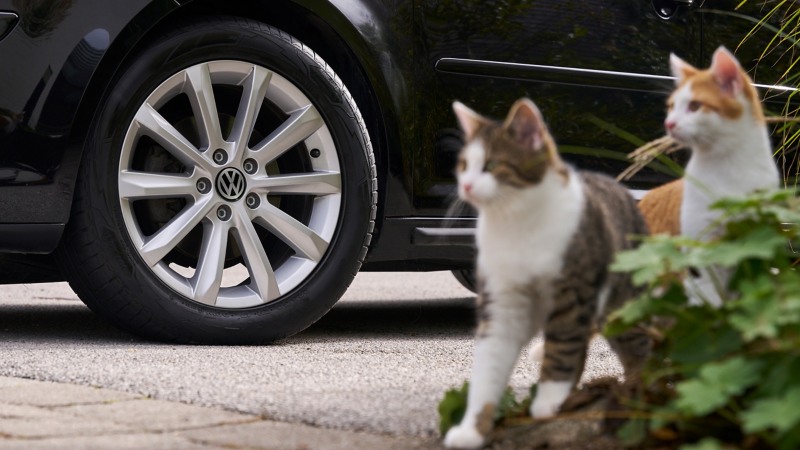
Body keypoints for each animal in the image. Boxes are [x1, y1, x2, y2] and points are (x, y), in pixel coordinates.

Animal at [444, 99, 648, 450]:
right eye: (464, 165)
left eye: (492, 164)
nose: (466, 185)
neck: (514, 222)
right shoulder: (501, 300)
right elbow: (488, 366)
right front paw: (473, 429)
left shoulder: (573, 293)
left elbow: (563, 344)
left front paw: (549, 400)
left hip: (625, 303)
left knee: (639, 344)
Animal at [636, 45, 776, 304]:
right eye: (672, 106)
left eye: (694, 106)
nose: (669, 123)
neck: (729, 166)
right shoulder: (701, 254)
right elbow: (712, 304)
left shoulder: (756, 244)